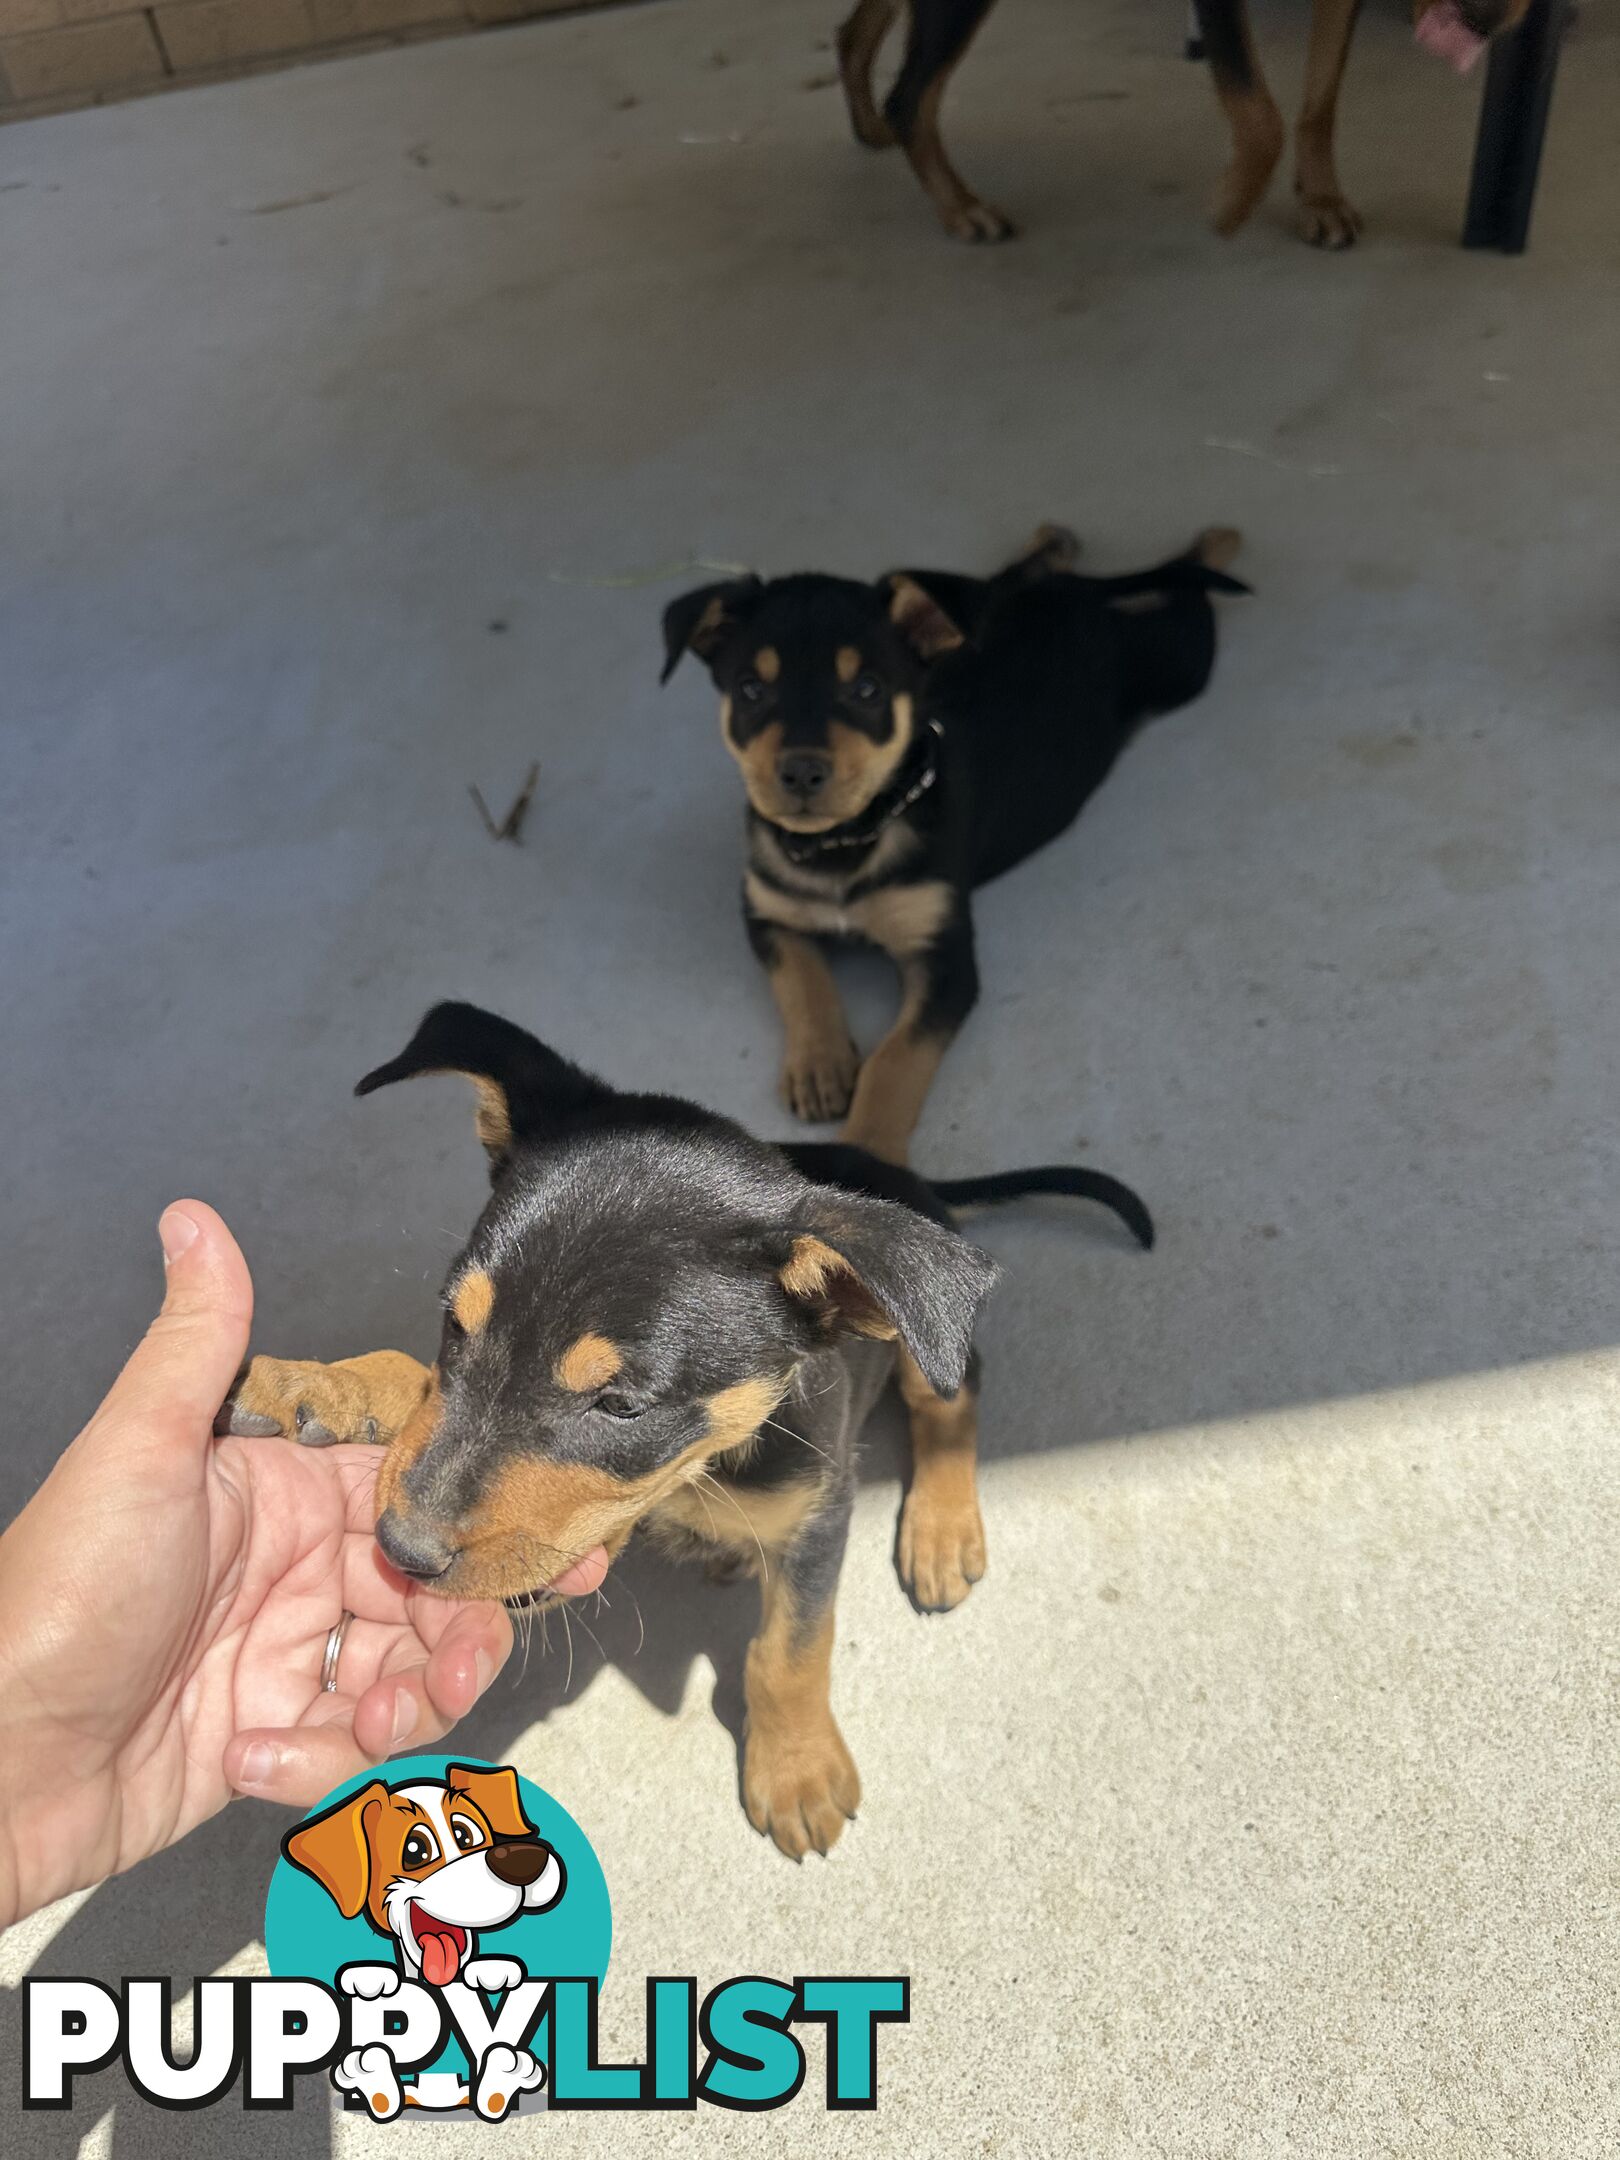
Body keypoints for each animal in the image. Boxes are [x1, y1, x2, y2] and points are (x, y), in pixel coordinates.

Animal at [225, 993, 1157, 1857]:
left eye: (621, 1405)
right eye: (454, 1323)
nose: (402, 1551)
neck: (703, 1468)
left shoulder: (821, 1513)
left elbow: (790, 1651)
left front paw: (795, 1769)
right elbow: (416, 1382)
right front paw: (319, 1387)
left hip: (922, 1349)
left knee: (953, 1395)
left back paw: (941, 1530)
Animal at [665, 527, 1252, 1166]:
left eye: (866, 690)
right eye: (750, 690)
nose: (799, 774)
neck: (848, 841)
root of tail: (1081, 596)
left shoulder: (946, 960)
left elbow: (895, 1060)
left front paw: (869, 1153)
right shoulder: (768, 912)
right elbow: (802, 982)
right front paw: (820, 1065)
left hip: (1179, 661)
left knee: (1188, 589)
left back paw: (1212, 541)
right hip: (992, 606)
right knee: (1023, 573)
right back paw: (1057, 540)